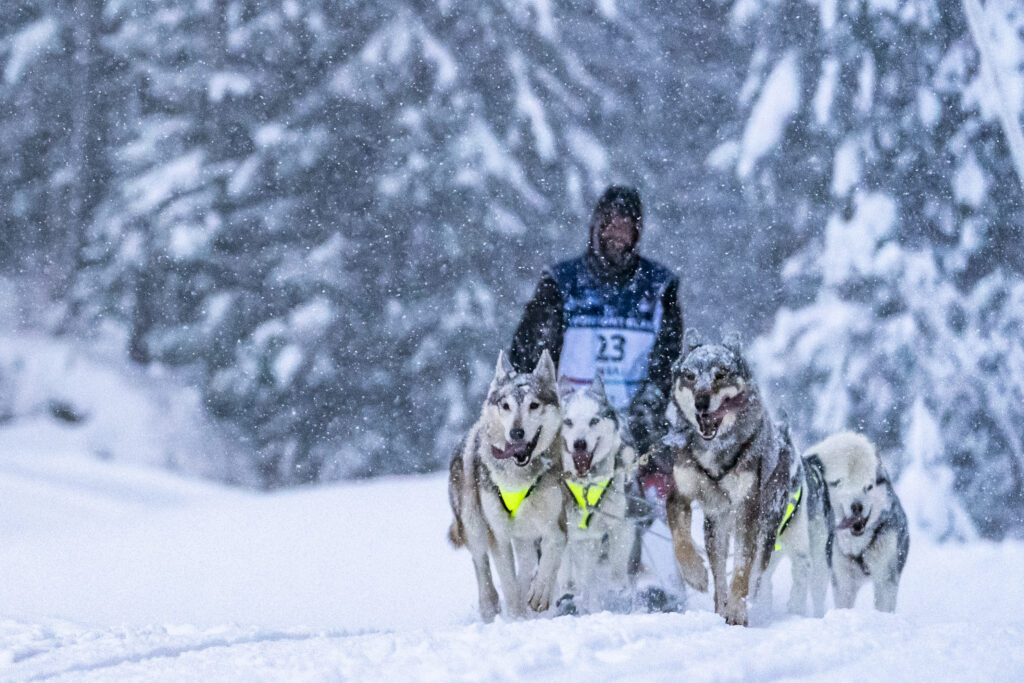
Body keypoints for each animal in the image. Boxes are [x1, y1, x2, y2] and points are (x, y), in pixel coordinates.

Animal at [448, 350, 569, 622]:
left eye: (534, 405)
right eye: (506, 406)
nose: (516, 433)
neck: (519, 478)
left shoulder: (556, 522)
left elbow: (551, 553)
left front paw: (540, 593)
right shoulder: (498, 534)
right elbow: (508, 582)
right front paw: (514, 617)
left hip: (524, 535)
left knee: (526, 564)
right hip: (474, 524)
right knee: (481, 565)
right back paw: (490, 606)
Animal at [659, 333, 794, 626]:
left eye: (720, 374)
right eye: (689, 375)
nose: (701, 402)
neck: (715, 449)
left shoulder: (747, 509)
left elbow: (742, 569)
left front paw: (738, 611)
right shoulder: (679, 495)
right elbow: (680, 541)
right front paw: (695, 574)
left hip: (765, 527)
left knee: (754, 573)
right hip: (716, 527)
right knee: (720, 574)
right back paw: (720, 606)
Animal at [802, 430, 909, 610]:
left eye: (869, 486)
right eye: (840, 483)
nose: (857, 506)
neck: (859, 547)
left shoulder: (886, 580)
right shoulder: (843, 582)